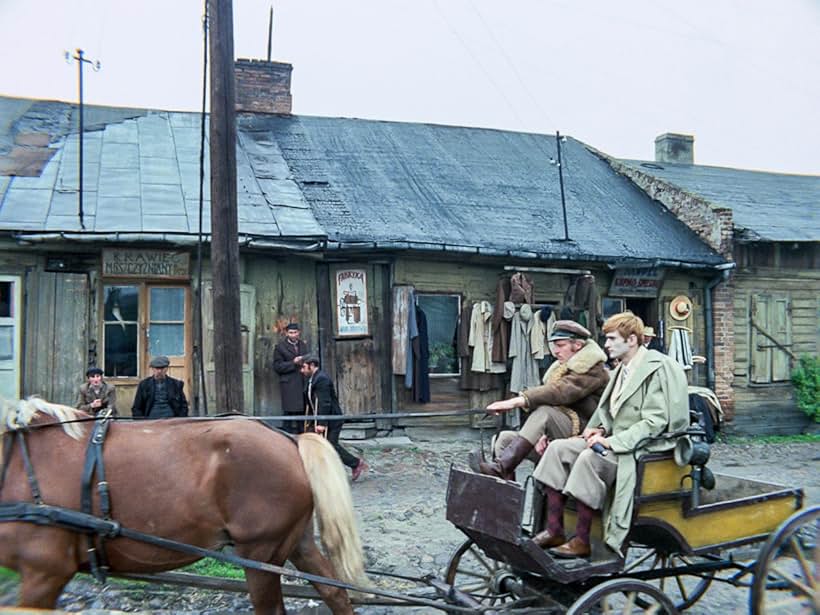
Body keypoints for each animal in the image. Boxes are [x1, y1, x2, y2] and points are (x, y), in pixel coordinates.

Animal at [0, 398, 366, 612]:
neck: (19, 461)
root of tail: (289, 439)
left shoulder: (44, 572)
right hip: (293, 542)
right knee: (335, 593)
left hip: (261, 554)